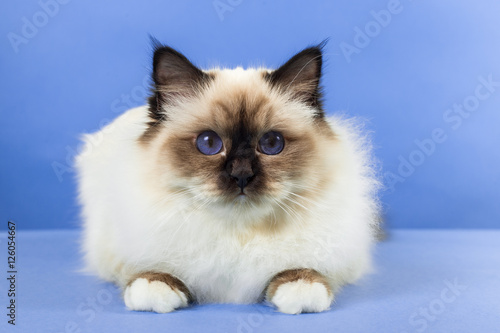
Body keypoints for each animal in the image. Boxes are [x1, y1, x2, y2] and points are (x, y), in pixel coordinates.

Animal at [75, 40, 378, 312]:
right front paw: (154, 288)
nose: (241, 175)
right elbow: (151, 268)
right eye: (209, 143)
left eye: (271, 143)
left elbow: (303, 269)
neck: (238, 233)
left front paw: (301, 288)